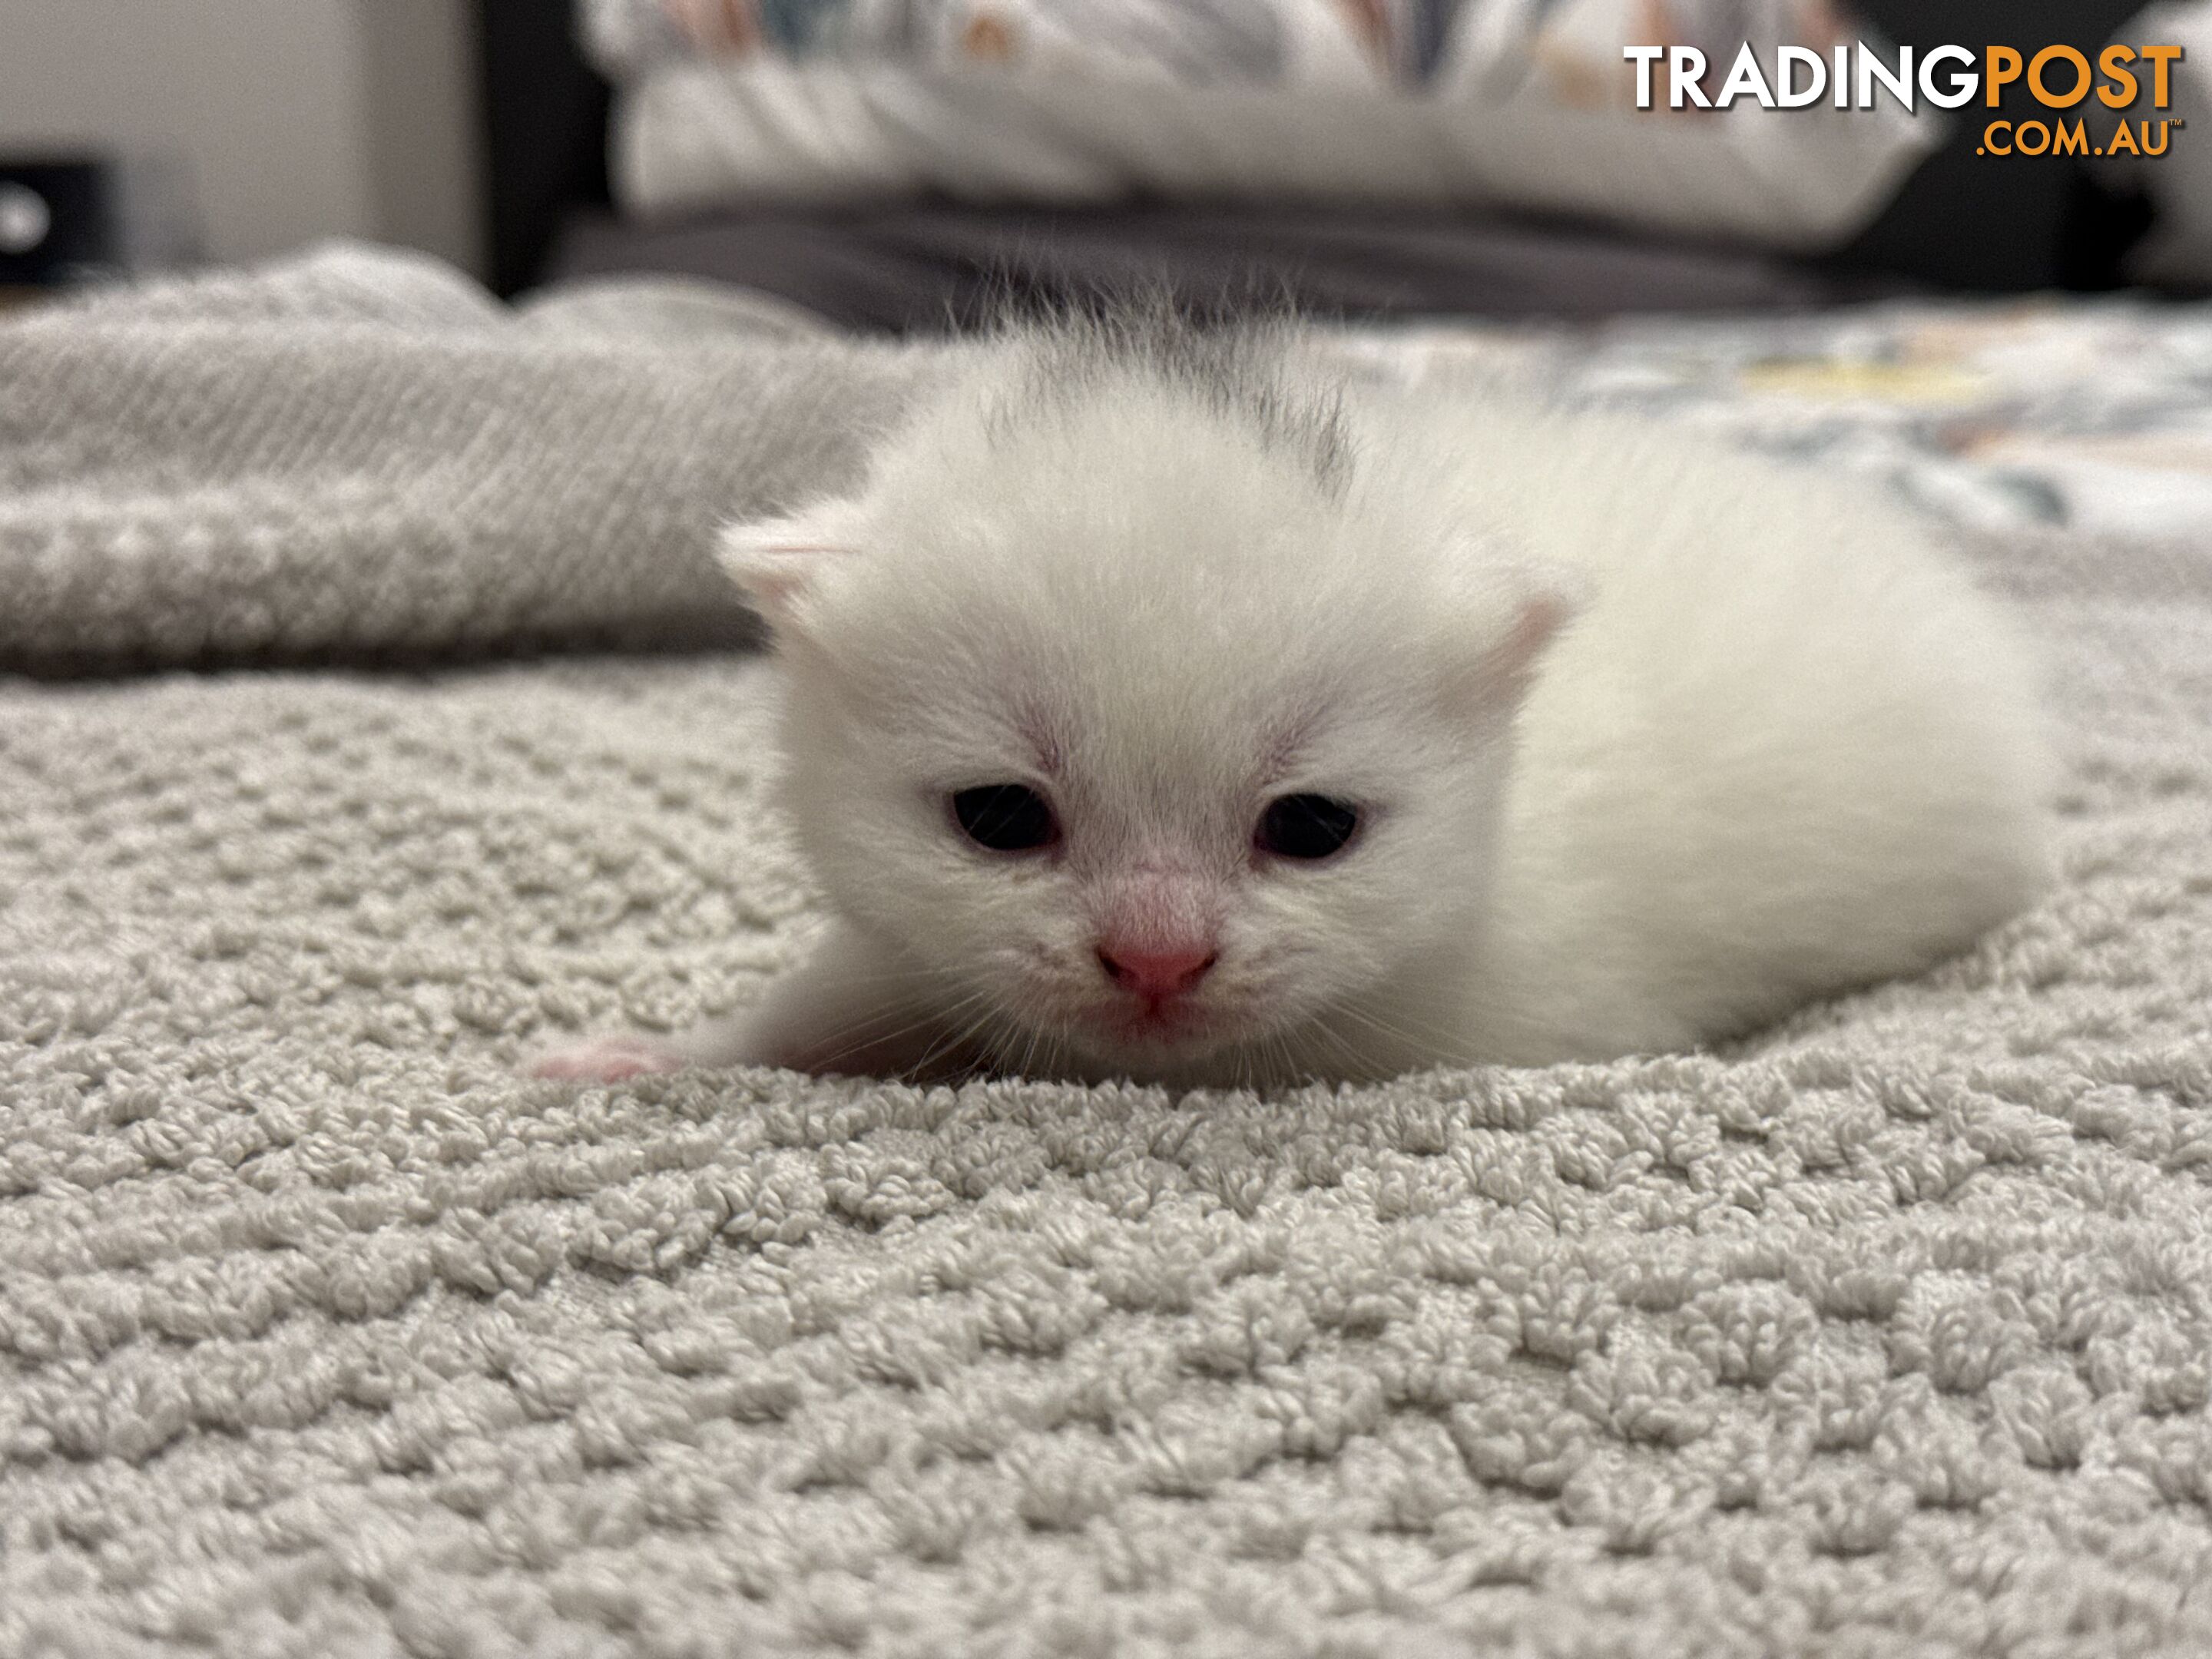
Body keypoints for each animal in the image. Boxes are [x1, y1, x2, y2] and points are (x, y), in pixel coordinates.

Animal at [535, 313, 2052, 1097]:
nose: (1156, 964)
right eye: (1000, 819)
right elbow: (816, 1012)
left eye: (1312, 829)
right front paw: (654, 1056)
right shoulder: (919, 953)